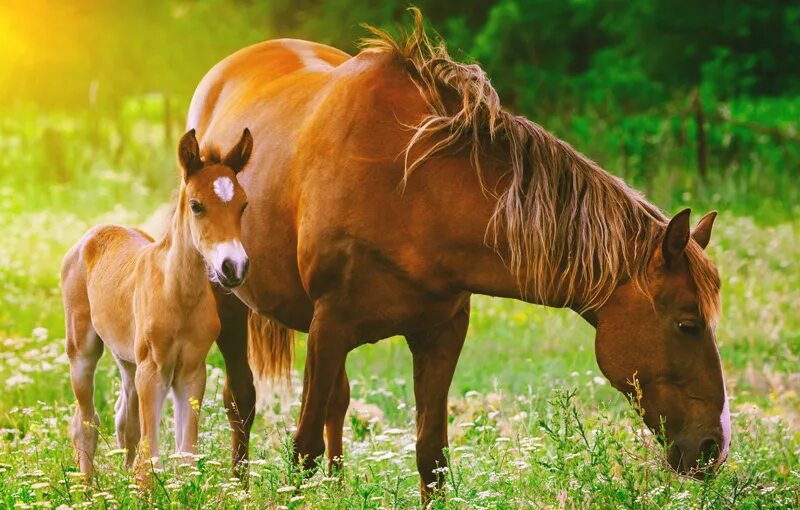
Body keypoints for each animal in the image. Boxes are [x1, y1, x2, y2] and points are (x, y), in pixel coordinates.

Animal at [61, 129, 252, 480]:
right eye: (196, 205)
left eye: (243, 205)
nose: (234, 266)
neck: (178, 293)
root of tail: (93, 234)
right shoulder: (153, 370)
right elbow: (150, 460)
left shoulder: (192, 371)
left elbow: (186, 455)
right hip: (83, 349)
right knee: (85, 422)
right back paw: (88, 485)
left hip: (127, 359)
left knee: (125, 419)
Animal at [191, 9, 728, 500]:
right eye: (687, 324)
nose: (712, 448)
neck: (411, 189)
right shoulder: (329, 327)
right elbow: (302, 451)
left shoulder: (441, 333)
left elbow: (431, 456)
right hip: (230, 297)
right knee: (241, 399)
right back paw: (238, 488)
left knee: (336, 406)